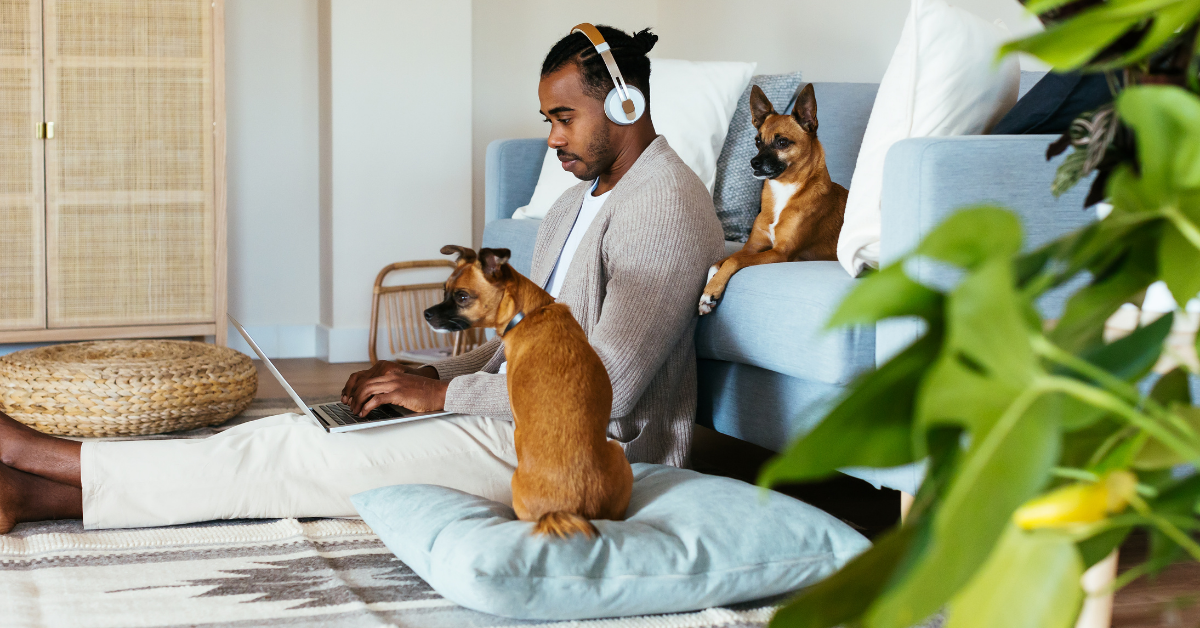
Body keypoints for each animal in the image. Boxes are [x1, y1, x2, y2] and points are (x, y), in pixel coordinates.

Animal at [422, 246, 633, 540]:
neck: (531, 313)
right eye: (444, 290)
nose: (426, 314)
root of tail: (567, 511)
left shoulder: (516, 425)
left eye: (462, 296)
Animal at [700, 84, 849, 314]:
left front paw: (712, 289)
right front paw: (708, 291)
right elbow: (719, 262)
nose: (753, 163)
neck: (784, 191)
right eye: (757, 141)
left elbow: (733, 262)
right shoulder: (751, 248)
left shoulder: (780, 253)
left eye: (782, 142)